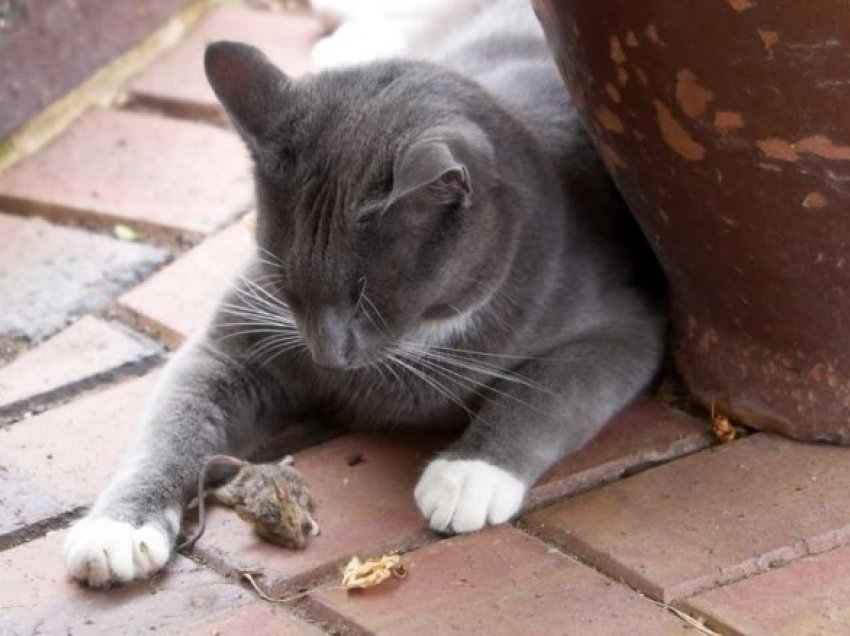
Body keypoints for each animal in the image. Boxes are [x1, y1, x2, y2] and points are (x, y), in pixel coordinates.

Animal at [66, 0, 664, 588]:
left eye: (366, 297)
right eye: (286, 281)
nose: (327, 354)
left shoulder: (625, 321)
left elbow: (548, 395)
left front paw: (468, 476)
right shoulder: (234, 341)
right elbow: (173, 424)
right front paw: (116, 529)